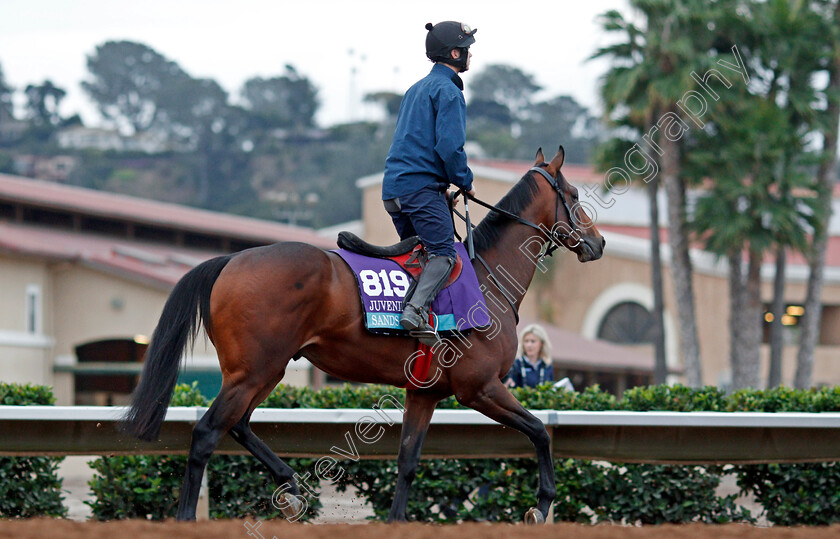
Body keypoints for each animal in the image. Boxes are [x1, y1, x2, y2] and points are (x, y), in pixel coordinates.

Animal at [123, 147, 604, 524]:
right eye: (574, 195)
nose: (597, 243)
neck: (486, 276)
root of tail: (230, 261)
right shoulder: (480, 388)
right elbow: (540, 432)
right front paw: (541, 505)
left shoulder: (425, 393)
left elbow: (408, 460)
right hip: (255, 371)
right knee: (207, 434)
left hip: (260, 371)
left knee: (237, 425)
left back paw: (291, 487)